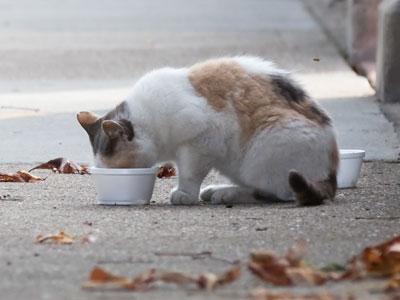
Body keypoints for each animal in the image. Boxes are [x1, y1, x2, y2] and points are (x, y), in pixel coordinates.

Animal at [77, 55, 338, 206]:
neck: (147, 116)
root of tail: (330, 173)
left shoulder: (201, 141)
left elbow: (190, 173)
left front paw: (185, 194)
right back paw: (218, 190)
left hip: (266, 146)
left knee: (276, 192)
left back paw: (227, 194)